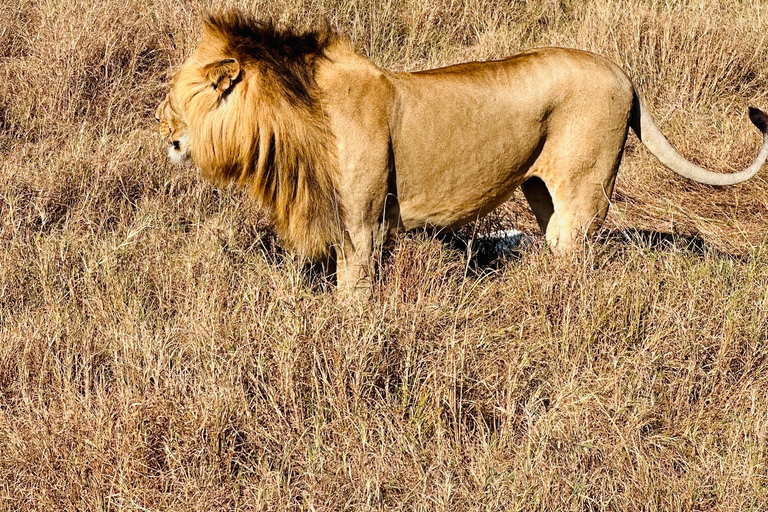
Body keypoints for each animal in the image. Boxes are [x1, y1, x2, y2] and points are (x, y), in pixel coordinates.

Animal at [156, 11, 768, 292]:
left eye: (178, 99)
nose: (164, 135)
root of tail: (623, 72)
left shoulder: (362, 225)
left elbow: (352, 296)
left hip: (585, 189)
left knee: (576, 248)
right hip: (540, 190)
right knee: (554, 239)